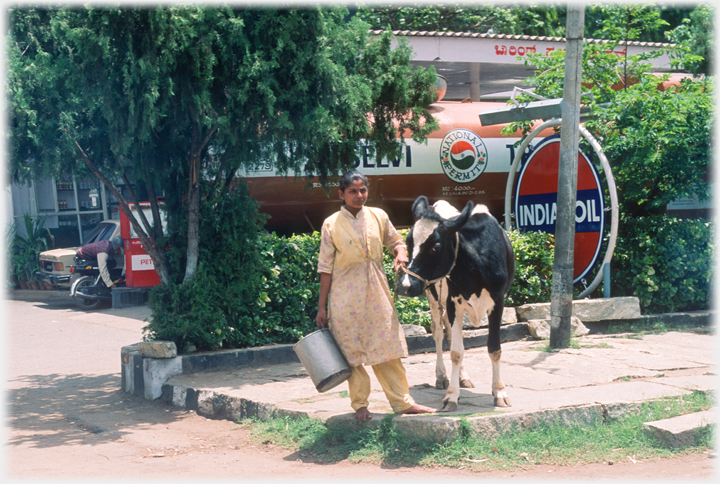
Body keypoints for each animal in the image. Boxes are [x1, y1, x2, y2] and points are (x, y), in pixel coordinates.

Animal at [396, 195, 516, 410]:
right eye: (408, 243)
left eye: (435, 247)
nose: (404, 286)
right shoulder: (453, 304)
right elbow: (455, 352)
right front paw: (451, 396)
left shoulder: (498, 301)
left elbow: (494, 348)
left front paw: (499, 391)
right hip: (434, 298)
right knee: (438, 332)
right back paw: (442, 377)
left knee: (450, 335)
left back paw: (462, 378)